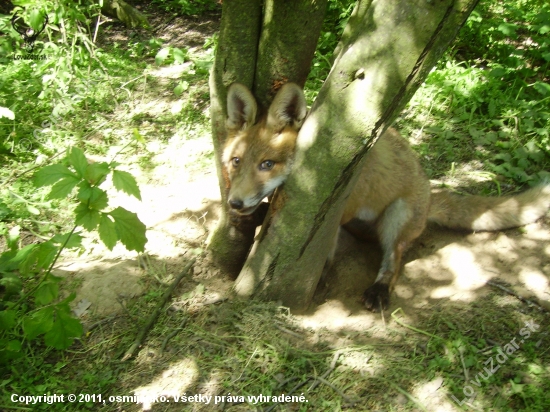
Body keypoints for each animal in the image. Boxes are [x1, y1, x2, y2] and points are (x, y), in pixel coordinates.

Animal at [223, 82, 550, 310]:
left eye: (267, 164)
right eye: (236, 161)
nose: (234, 203)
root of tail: (428, 196)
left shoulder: (340, 205)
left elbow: (327, 248)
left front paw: (320, 277)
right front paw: (257, 212)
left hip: (398, 215)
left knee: (394, 261)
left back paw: (379, 289)